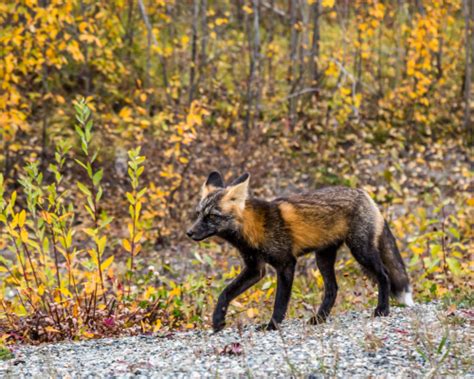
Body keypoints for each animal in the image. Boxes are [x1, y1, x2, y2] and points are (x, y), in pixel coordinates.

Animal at [187, 172, 412, 332]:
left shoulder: (286, 264)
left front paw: (271, 326)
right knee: (333, 289)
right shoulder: (255, 268)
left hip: (361, 252)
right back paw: (319, 319)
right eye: (199, 214)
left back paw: (382, 309)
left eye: (212, 216)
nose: (189, 233)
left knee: (384, 275)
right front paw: (218, 320)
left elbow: (280, 303)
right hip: (323, 258)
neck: (253, 230)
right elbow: (225, 293)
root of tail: (364, 194)